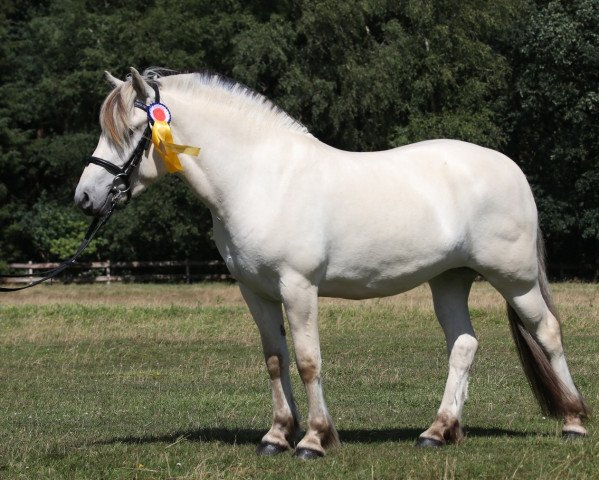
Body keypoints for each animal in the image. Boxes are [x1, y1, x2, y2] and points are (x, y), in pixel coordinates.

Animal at [74, 66, 592, 458]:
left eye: (133, 131)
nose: (85, 198)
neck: (261, 178)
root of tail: (510, 167)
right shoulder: (255, 291)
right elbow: (274, 359)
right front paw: (276, 436)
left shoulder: (298, 287)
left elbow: (308, 361)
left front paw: (313, 440)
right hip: (449, 280)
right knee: (463, 345)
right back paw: (438, 431)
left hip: (515, 279)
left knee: (547, 331)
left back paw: (573, 421)